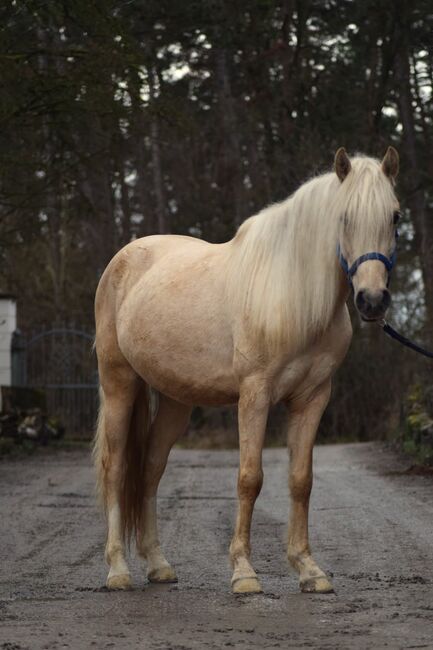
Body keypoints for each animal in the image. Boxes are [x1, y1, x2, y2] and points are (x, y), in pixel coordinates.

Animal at [93, 147, 398, 592]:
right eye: (344, 217)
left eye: (395, 217)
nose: (372, 301)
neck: (292, 294)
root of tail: (123, 259)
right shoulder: (255, 395)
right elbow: (249, 478)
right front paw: (244, 572)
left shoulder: (313, 398)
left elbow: (301, 480)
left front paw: (309, 569)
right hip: (119, 382)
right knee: (116, 469)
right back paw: (118, 570)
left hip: (174, 400)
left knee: (150, 469)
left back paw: (158, 564)